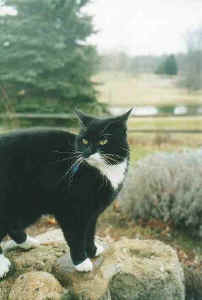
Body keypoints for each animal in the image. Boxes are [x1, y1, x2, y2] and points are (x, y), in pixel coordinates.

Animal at [0, 108, 131, 276]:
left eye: (103, 141)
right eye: (84, 141)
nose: (88, 152)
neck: (103, 169)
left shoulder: (92, 212)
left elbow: (89, 233)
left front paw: (92, 251)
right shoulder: (70, 210)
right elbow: (76, 237)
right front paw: (81, 262)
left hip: (28, 205)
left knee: (13, 225)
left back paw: (28, 243)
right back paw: (2, 264)